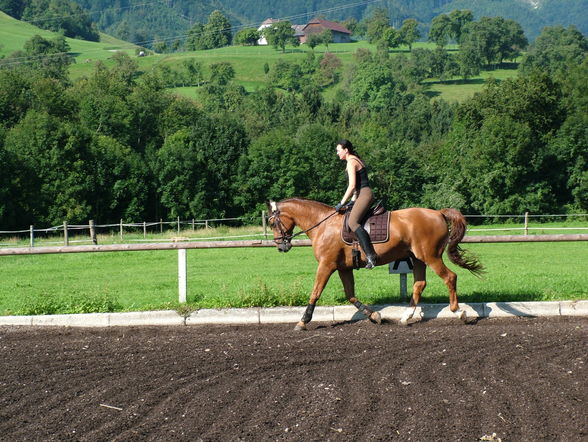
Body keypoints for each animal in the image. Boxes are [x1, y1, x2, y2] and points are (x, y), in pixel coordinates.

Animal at [266, 199, 482, 330]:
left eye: (272, 222)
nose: (281, 246)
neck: (322, 224)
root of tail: (438, 213)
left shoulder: (327, 265)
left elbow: (315, 292)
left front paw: (303, 321)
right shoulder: (344, 268)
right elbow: (351, 295)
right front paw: (374, 316)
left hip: (430, 256)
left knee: (450, 277)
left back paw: (459, 312)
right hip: (418, 258)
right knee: (419, 284)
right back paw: (406, 317)